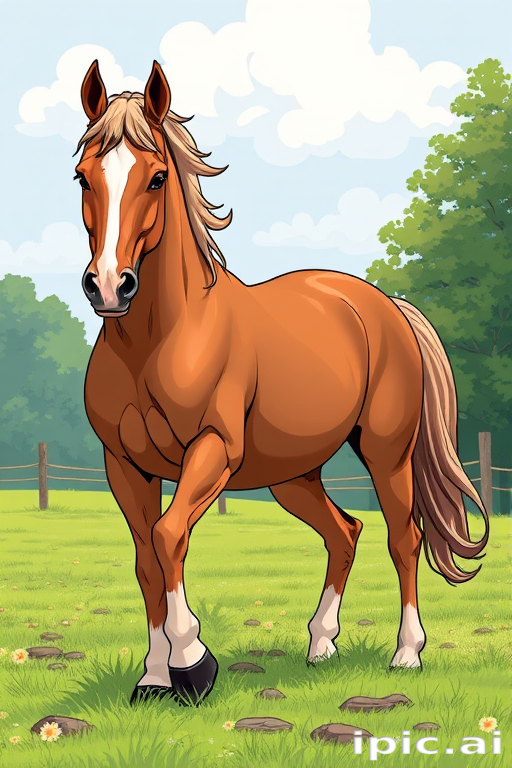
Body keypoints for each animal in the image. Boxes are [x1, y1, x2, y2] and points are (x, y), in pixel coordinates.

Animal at [76, 59, 489, 706]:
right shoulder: (124, 464)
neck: (157, 341)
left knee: (404, 536)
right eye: (83, 177)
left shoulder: (213, 451)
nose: (109, 286)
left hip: (386, 452)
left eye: (157, 178)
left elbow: (169, 536)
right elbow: (145, 557)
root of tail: (386, 306)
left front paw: (192, 664)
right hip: (292, 475)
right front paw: (153, 677)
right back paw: (320, 645)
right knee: (345, 532)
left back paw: (406, 654)